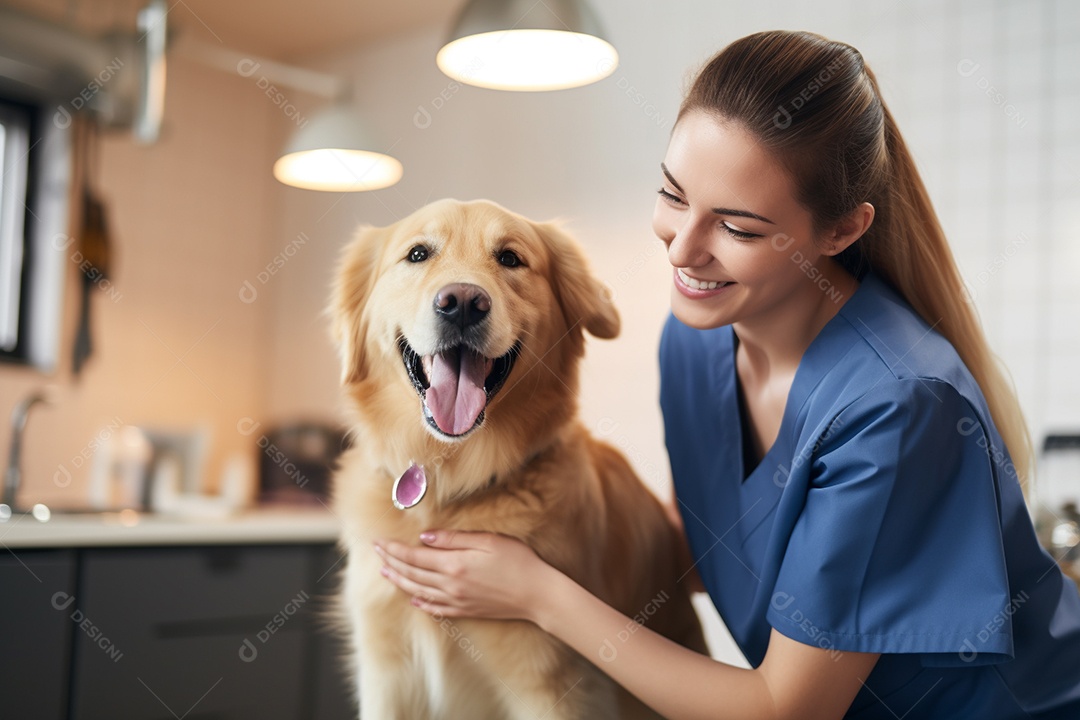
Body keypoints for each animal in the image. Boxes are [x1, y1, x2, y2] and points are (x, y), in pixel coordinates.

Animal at [328, 198, 708, 720]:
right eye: (418, 254)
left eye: (510, 258)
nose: (462, 302)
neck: (450, 485)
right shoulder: (385, 672)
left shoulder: (551, 683)